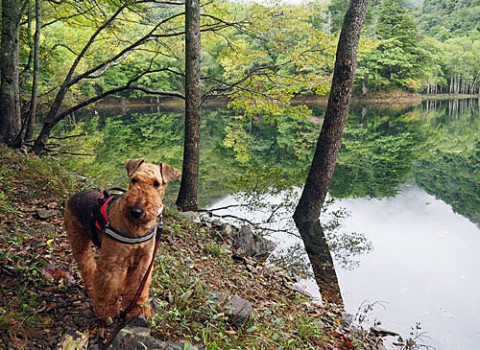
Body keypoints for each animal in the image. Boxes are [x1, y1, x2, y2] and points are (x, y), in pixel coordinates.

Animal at [64, 160, 181, 322]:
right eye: (134, 180)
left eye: (156, 184)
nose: (136, 211)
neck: (136, 229)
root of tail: (75, 195)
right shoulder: (112, 261)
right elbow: (109, 289)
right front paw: (107, 311)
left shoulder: (143, 261)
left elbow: (138, 288)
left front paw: (137, 310)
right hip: (78, 241)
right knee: (86, 265)